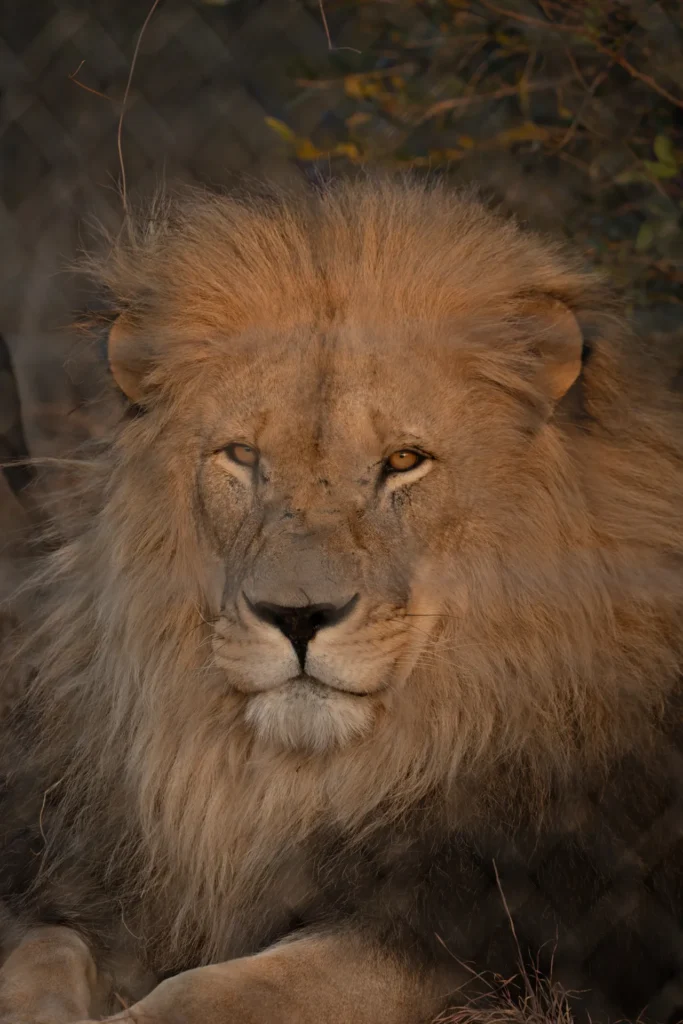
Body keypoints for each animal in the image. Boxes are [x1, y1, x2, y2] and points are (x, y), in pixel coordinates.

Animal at [0, 177, 682, 1024]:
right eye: (241, 456)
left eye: (403, 461)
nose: (297, 618)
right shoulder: (112, 891)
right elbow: (40, 951)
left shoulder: (470, 934)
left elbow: (214, 993)